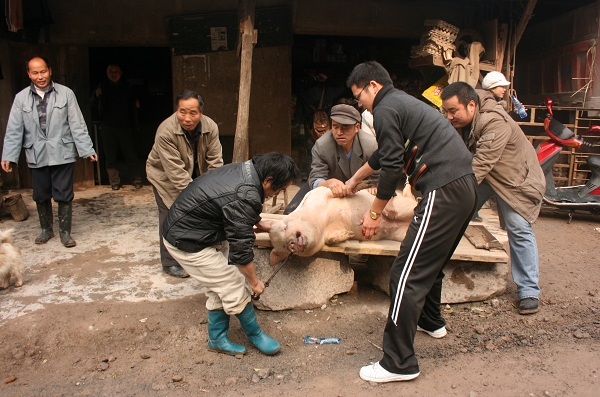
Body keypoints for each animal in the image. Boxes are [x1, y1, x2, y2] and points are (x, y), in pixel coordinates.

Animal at [268, 184, 418, 264]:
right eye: (283, 246)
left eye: (285, 228)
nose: (290, 244)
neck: (323, 221)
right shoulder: (329, 232)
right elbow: (330, 239)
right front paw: (349, 234)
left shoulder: (320, 193)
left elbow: (342, 189)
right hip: (400, 233)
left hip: (404, 206)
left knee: (411, 205)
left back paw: (390, 210)